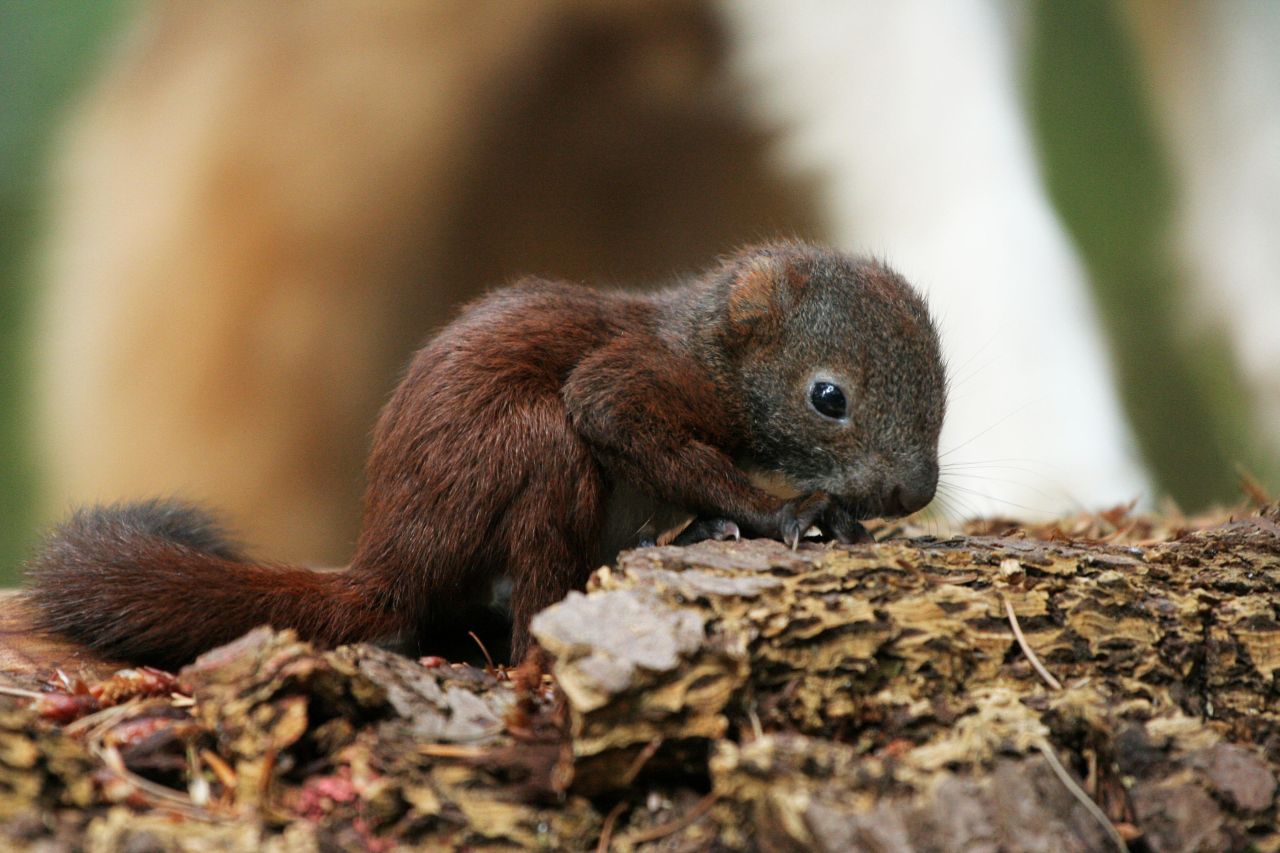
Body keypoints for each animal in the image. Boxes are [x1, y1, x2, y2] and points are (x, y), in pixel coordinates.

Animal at [22, 239, 942, 666]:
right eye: (829, 397)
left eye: (941, 385)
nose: (914, 491)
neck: (706, 347)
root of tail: (390, 556)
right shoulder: (632, 382)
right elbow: (617, 413)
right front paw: (783, 510)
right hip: (537, 449)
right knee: (530, 609)